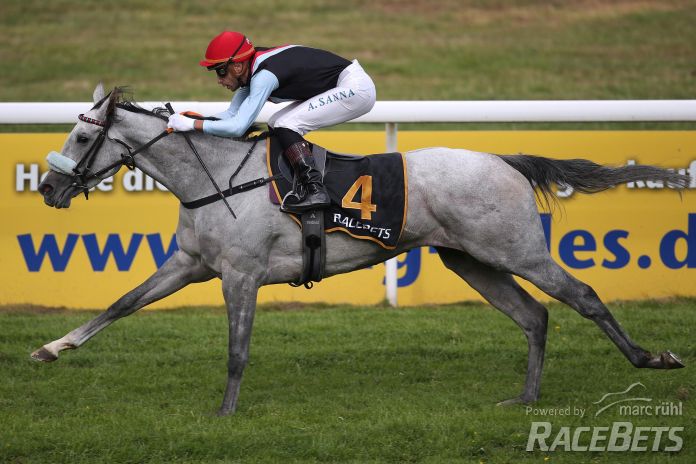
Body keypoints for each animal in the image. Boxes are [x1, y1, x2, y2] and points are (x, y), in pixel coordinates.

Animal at [32, 84, 688, 416]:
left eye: (83, 136)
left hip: (519, 251)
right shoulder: (189, 265)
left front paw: (225, 414)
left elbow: (237, 351)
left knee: (583, 295)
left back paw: (651, 358)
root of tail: (505, 159)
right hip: (471, 260)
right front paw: (50, 349)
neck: (214, 176)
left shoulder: (240, 275)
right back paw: (526, 396)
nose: (48, 189)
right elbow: (121, 303)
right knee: (535, 316)